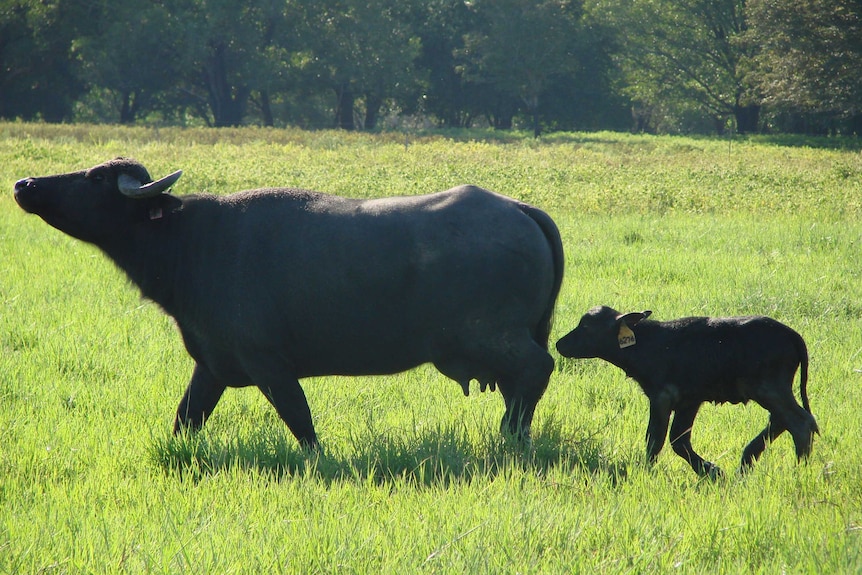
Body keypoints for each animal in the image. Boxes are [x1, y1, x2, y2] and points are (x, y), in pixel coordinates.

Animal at [15, 159, 568, 450]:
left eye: (94, 178)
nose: (25, 184)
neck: (192, 242)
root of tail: (519, 209)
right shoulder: (212, 364)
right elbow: (186, 417)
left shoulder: (268, 363)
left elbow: (300, 420)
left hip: (494, 335)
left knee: (537, 370)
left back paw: (509, 437)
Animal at [556, 308, 820, 480]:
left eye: (586, 326)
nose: (559, 344)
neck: (646, 345)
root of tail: (794, 337)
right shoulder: (689, 400)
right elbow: (679, 440)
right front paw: (713, 472)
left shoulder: (662, 396)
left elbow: (655, 440)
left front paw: (645, 473)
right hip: (773, 388)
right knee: (782, 420)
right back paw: (746, 462)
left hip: (769, 387)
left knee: (799, 422)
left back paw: (800, 471)